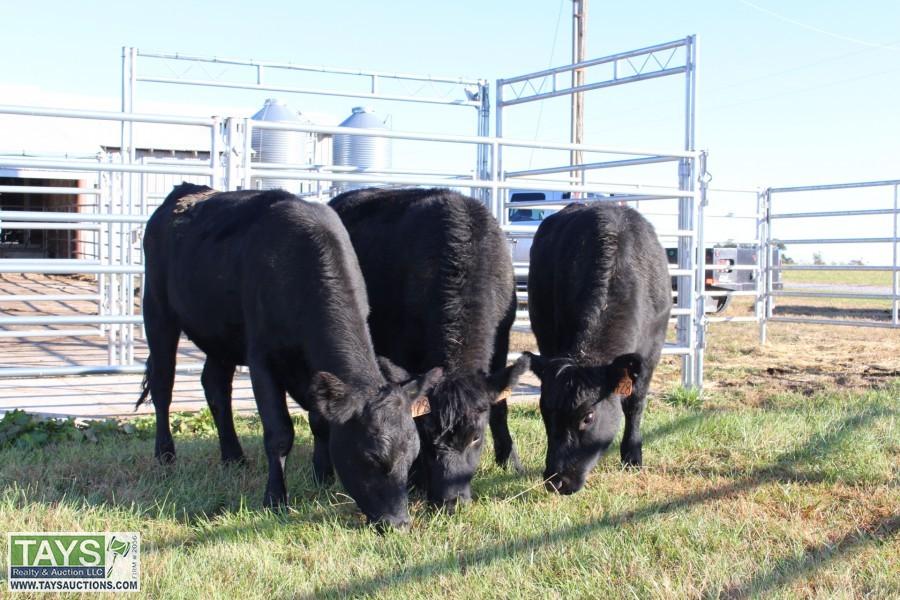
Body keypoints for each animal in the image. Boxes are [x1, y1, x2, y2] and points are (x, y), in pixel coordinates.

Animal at [138, 183, 442, 529]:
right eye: (372, 457)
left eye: (413, 456)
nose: (399, 523)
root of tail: (187, 190)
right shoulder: (262, 359)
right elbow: (279, 433)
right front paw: (275, 499)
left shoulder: (315, 372)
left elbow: (320, 422)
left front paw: (322, 476)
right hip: (157, 310)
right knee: (163, 384)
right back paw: (165, 455)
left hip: (221, 335)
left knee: (215, 386)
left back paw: (233, 456)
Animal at [329, 187, 530, 511]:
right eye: (426, 435)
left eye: (476, 437)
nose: (451, 501)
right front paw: (413, 477)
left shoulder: (502, 343)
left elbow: (500, 406)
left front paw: (510, 461)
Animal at [524, 202, 671, 495]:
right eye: (545, 412)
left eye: (588, 417)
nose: (556, 481)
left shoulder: (651, 353)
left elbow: (635, 404)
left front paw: (632, 457)